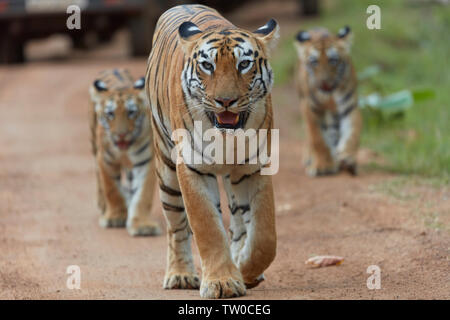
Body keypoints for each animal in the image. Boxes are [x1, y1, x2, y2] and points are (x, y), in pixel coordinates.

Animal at [89, 69, 159, 236]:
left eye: (131, 112)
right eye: (110, 113)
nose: (121, 134)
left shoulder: (145, 162)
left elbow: (143, 194)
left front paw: (142, 225)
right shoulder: (105, 160)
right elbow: (112, 190)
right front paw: (116, 217)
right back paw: (104, 205)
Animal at [145, 5, 278, 298]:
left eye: (244, 64)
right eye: (208, 66)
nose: (225, 101)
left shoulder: (256, 165)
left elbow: (264, 235)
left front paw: (246, 271)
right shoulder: (191, 167)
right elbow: (207, 228)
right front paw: (222, 282)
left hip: (234, 177)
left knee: (239, 220)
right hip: (167, 171)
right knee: (176, 227)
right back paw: (180, 275)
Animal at [296, 26, 362, 178]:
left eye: (333, 60)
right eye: (314, 62)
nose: (324, 82)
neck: (329, 95)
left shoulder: (349, 107)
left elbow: (353, 133)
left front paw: (347, 157)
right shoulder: (310, 108)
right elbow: (317, 138)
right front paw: (323, 165)